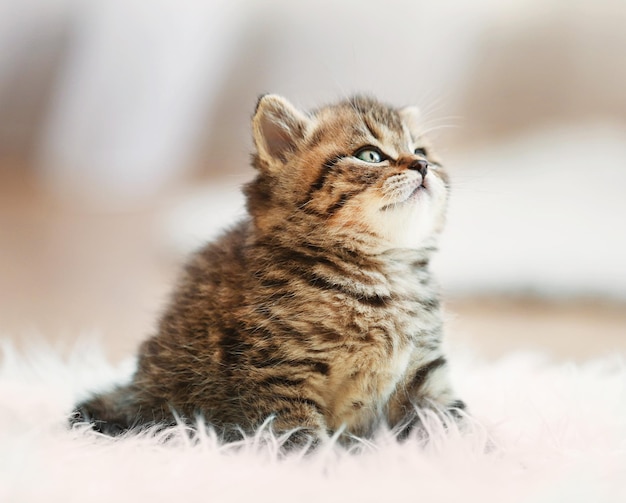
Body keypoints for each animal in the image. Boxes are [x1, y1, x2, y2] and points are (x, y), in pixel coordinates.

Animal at [73, 95, 464, 448]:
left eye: (423, 151)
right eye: (370, 155)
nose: (422, 165)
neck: (381, 273)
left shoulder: (424, 369)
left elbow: (449, 420)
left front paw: (463, 453)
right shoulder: (279, 374)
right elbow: (302, 440)